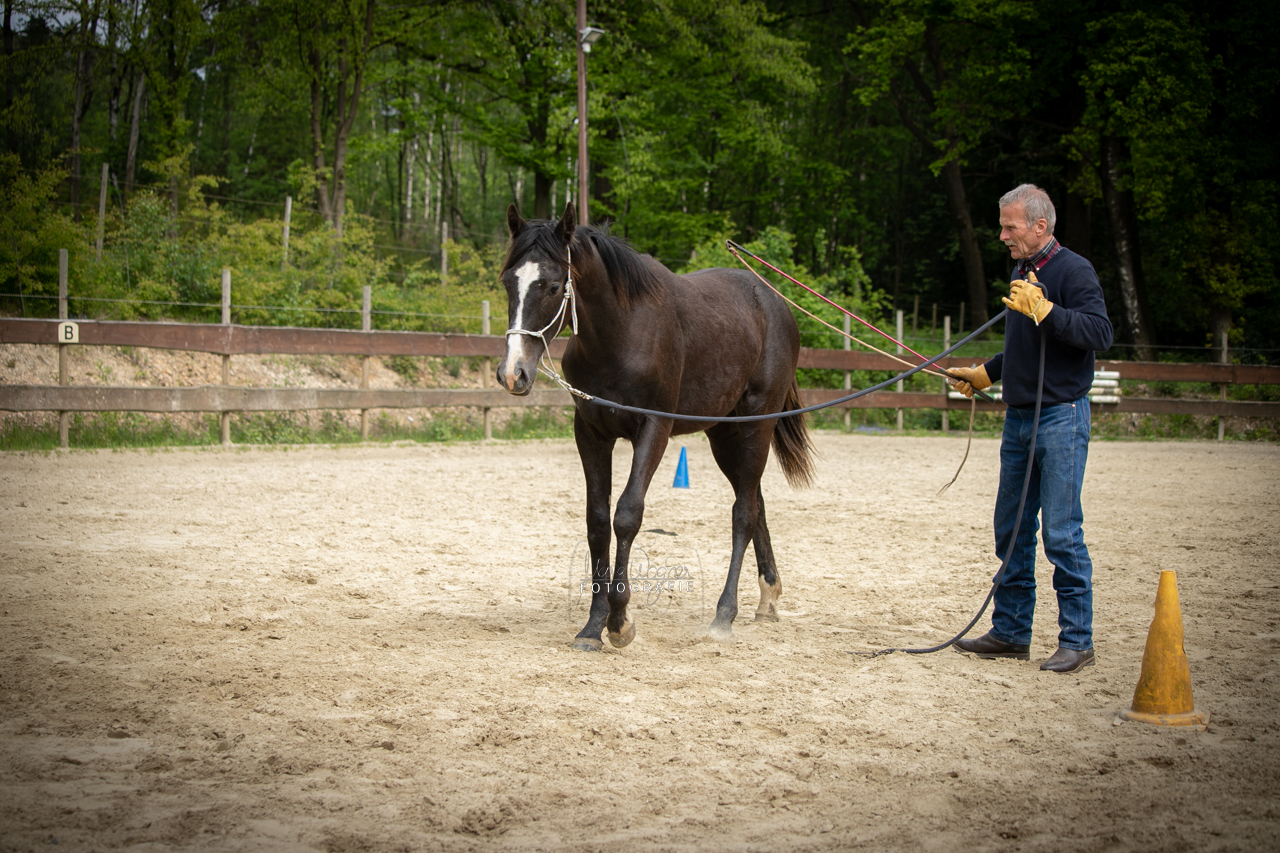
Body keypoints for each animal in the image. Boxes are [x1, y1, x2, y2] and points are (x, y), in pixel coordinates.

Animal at [494, 202, 814, 648]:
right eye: (508, 282)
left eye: (554, 286)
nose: (513, 373)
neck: (621, 334)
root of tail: (775, 302)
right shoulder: (590, 432)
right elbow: (597, 521)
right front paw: (593, 625)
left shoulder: (654, 430)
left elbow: (627, 515)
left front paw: (619, 621)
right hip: (723, 432)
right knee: (755, 502)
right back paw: (767, 597)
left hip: (755, 427)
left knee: (744, 513)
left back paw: (724, 614)